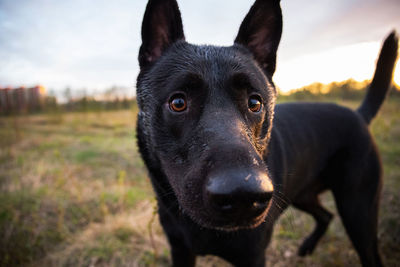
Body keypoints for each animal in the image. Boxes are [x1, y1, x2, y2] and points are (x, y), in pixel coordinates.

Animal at [136, 1, 398, 266]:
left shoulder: (253, 255)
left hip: (358, 213)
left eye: (255, 103)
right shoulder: (180, 249)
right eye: (178, 102)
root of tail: (359, 115)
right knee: (325, 215)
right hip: (304, 195)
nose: (242, 195)